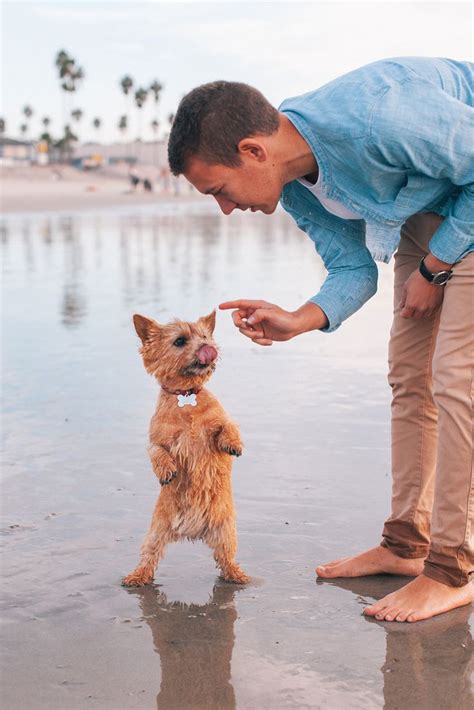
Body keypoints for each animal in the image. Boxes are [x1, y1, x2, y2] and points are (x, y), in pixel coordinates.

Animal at [120, 308, 250, 588]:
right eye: (180, 341)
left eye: (204, 336)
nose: (208, 348)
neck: (186, 396)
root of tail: (193, 531)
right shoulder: (158, 440)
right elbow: (158, 453)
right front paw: (166, 470)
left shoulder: (219, 422)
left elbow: (228, 427)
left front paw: (233, 444)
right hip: (156, 531)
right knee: (149, 556)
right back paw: (137, 576)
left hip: (226, 531)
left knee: (226, 558)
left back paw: (237, 575)